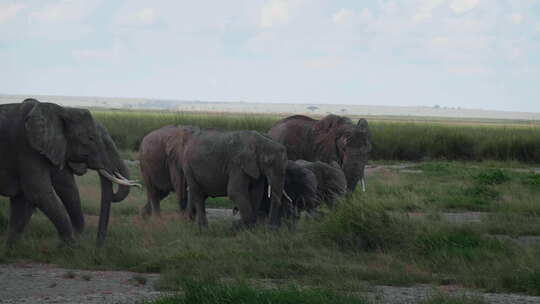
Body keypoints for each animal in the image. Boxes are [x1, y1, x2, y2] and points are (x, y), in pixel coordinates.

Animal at [0, 99, 139, 247]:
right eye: (90, 138)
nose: (97, 246)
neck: (63, 110)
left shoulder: (53, 148)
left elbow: (66, 186)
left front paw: (11, 248)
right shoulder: (26, 147)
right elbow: (38, 192)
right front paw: (71, 246)